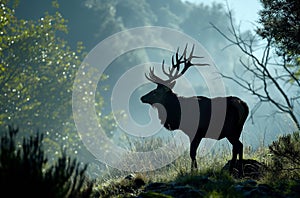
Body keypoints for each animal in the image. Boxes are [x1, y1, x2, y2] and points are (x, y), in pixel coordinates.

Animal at [141, 44, 248, 175]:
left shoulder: (196, 131)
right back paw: (233, 170)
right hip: (238, 129)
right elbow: (193, 153)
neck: (179, 115)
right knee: (236, 147)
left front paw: (193, 172)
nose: (142, 97)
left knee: (239, 146)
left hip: (230, 130)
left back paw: (238, 171)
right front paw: (194, 170)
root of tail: (243, 105)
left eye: (155, 92)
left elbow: (192, 153)